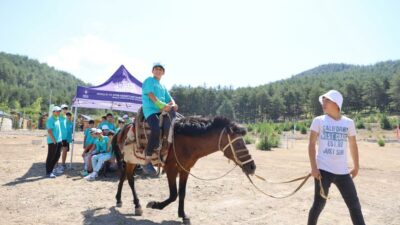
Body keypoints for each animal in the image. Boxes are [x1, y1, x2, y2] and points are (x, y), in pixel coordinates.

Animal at [112, 116, 256, 225]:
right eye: (238, 143)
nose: (252, 167)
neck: (184, 142)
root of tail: (122, 129)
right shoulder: (171, 169)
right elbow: (173, 194)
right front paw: (155, 204)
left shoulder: (185, 169)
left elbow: (182, 193)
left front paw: (183, 215)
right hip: (131, 161)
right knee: (130, 179)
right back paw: (137, 205)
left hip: (131, 161)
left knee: (123, 176)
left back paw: (119, 199)